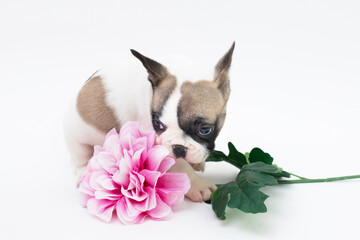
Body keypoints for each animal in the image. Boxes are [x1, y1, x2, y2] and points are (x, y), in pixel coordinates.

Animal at [63, 42, 235, 201]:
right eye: (158, 125)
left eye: (205, 130)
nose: (178, 147)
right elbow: (180, 165)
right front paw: (198, 185)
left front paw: (197, 163)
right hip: (77, 141)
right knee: (80, 159)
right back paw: (84, 174)